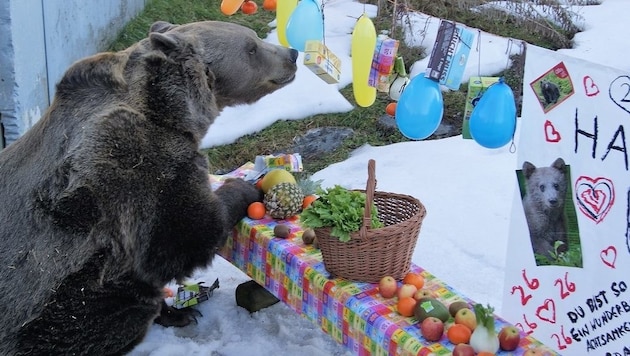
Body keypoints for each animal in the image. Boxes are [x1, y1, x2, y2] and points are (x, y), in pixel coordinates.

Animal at [0, 20, 298, 354]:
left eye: (254, 39)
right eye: (251, 47)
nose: (292, 54)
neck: (171, 110)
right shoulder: (134, 164)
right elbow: (187, 232)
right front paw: (243, 188)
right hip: (54, 300)